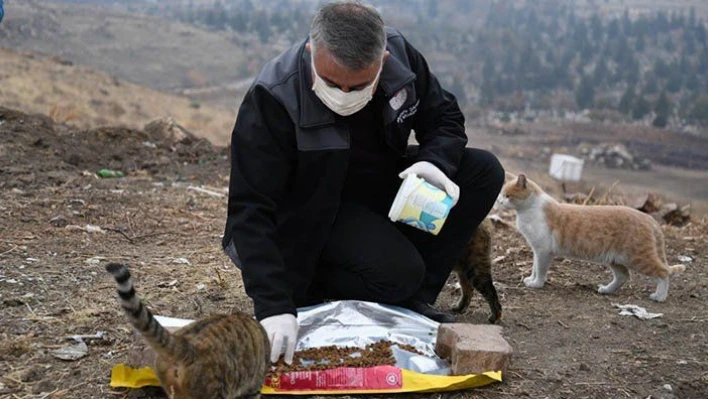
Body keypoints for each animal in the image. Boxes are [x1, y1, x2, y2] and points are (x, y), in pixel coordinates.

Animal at [498, 173, 684, 302]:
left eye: (508, 195)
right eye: (501, 194)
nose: (499, 202)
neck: (529, 210)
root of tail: (649, 218)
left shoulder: (543, 251)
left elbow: (541, 270)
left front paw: (536, 283)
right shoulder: (536, 250)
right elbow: (534, 267)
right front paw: (531, 278)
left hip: (638, 257)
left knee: (663, 273)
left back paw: (659, 297)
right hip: (615, 260)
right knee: (623, 276)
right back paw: (606, 290)